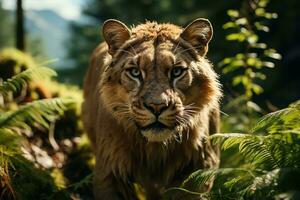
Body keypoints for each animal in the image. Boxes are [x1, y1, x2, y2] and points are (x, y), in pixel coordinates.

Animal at [83, 18, 221, 199]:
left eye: (177, 71)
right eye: (135, 72)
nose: (157, 106)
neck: (154, 149)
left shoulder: (199, 169)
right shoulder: (110, 172)